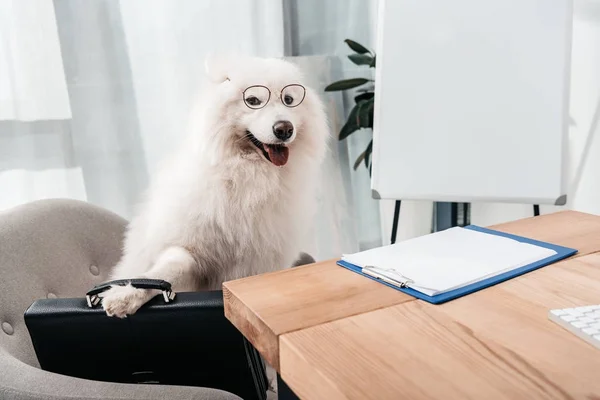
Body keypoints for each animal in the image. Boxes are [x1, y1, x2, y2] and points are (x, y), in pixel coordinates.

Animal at [101, 54, 330, 318]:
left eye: (289, 100)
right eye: (253, 100)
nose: (284, 129)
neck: (248, 174)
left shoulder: (262, 261)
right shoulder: (186, 248)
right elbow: (164, 271)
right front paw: (125, 294)